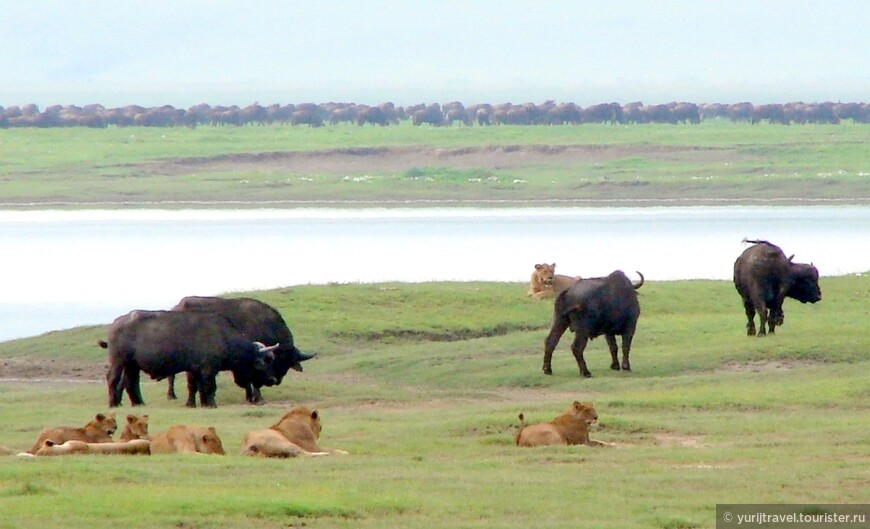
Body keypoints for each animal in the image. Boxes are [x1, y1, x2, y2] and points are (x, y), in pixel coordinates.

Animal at [102, 310, 280, 408]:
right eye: (264, 362)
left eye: (272, 360)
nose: (273, 379)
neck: (223, 337)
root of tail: (115, 323)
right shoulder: (208, 369)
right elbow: (209, 387)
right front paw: (212, 404)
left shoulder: (195, 369)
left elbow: (194, 387)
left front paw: (196, 404)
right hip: (119, 361)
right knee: (113, 379)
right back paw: (113, 403)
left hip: (132, 365)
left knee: (131, 382)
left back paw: (138, 403)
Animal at [169, 294, 316, 402]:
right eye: (281, 360)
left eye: (289, 362)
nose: (276, 380)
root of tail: (176, 308)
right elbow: (251, 381)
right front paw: (257, 398)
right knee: (172, 376)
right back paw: (172, 395)